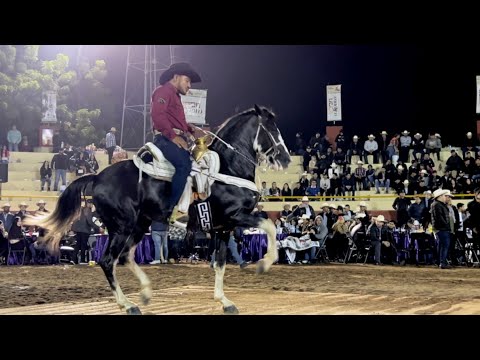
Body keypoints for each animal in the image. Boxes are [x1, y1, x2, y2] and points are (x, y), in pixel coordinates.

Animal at [31, 105, 292, 316]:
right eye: (271, 129)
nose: (286, 159)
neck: (227, 168)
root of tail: (96, 177)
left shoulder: (222, 227)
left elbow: (220, 263)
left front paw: (225, 301)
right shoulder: (236, 216)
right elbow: (269, 226)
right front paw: (265, 263)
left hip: (139, 225)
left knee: (125, 257)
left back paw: (145, 293)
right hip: (122, 227)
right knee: (108, 261)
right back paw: (128, 305)